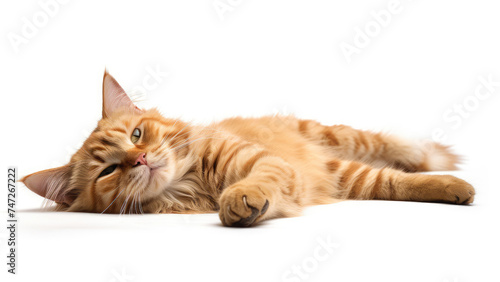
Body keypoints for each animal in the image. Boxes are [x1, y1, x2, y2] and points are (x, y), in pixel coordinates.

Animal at [22, 70, 476, 227]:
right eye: (107, 171)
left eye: (136, 135)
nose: (142, 158)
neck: (190, 181)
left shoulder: (265, 162)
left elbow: (259, 180)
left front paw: (241, 198)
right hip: (345, 177)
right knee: (388, 180)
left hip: (338, 145)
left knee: (398, 163)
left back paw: (448, 175)